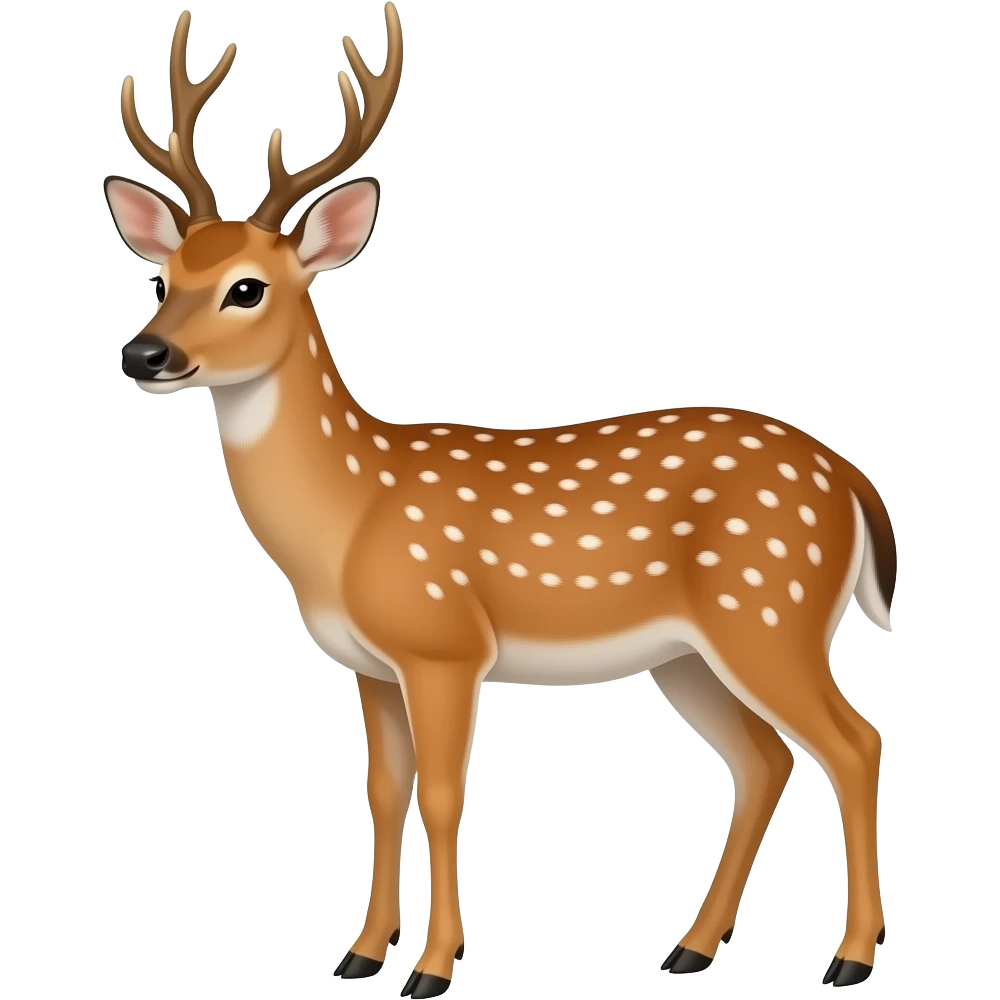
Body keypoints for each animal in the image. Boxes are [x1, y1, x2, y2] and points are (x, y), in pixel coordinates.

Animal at [106, 6, 892, 994]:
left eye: (246, 287)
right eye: (163, 279)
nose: (144, 354)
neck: (349, 519)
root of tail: (851, 480)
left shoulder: (444, 643)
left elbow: (444, 797)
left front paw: (434, 967)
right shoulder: (370, 664)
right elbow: (382, 793)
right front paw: (361, 955)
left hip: (770, 609)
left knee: (854, 744)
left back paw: (849, 960)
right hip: (688, 654)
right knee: (765, 760)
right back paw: (690, 948)